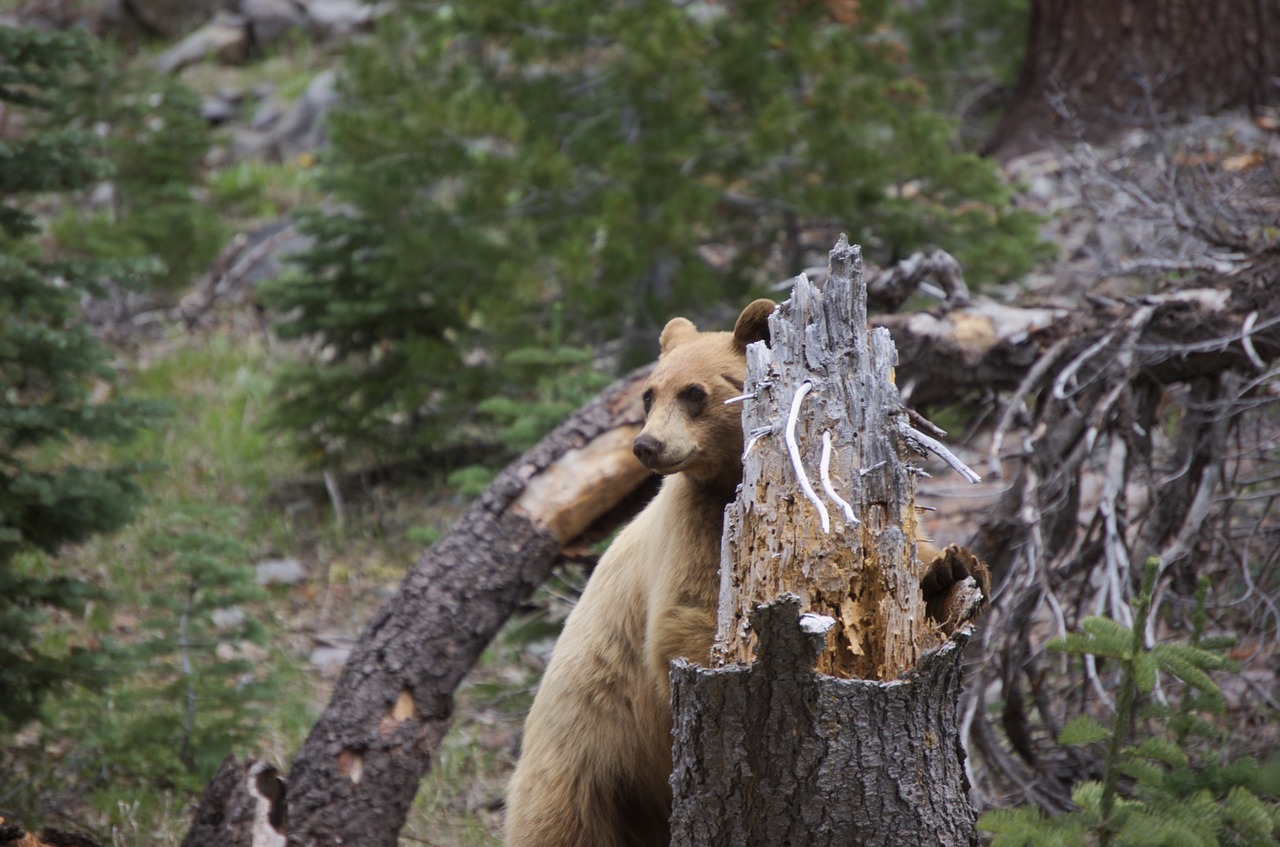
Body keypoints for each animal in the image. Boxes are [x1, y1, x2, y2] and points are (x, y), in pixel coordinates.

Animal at [501, 300, 977, 847]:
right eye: (649, 393)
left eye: (693, 392)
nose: (646, 445)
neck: (737, 476)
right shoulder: (698, 528)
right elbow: (687, 614)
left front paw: (951, 568)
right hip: (586, 757)